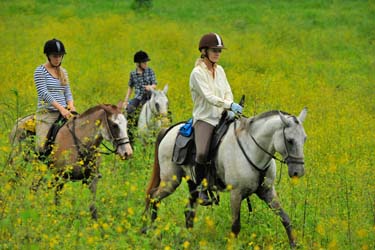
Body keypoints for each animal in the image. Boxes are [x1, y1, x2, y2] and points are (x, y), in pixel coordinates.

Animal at [144, 108, 308, 247]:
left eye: (304, 139)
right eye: (290, 140)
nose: (298, 172)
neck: (252, 149)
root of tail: (170, 130)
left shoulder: (267, 191)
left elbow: (285, 218)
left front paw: (294, 244)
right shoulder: (236, 194)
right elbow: (235, 226)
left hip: (192, 183)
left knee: (188, 211)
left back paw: (187, 239)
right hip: (171, 181)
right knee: (154, 197)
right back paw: (149, 231)